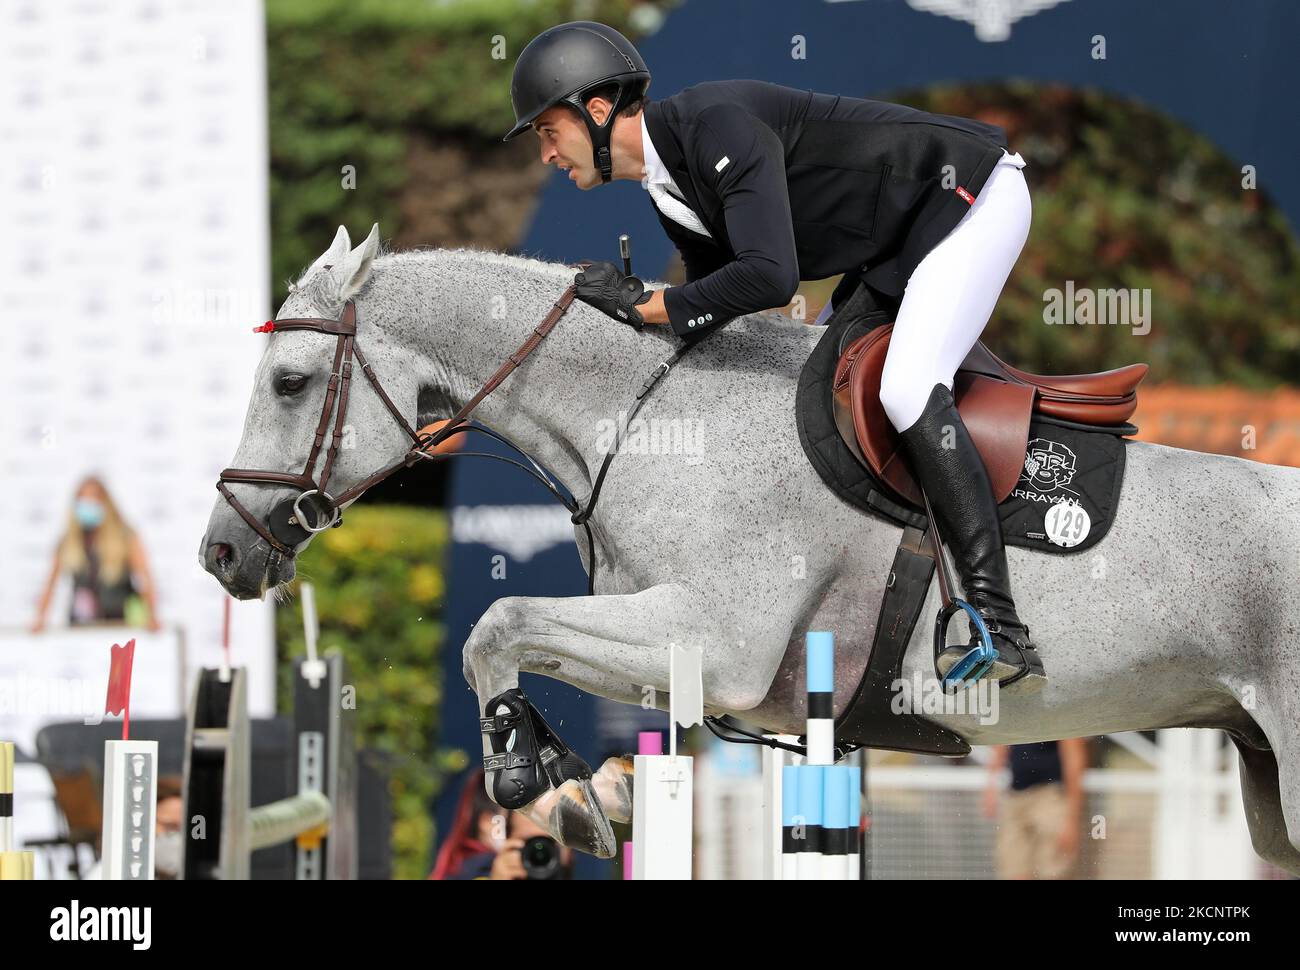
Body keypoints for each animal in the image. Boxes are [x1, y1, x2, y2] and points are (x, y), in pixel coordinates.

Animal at [200, 224, 1300, 868]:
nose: (221, 554)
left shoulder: (717, 639)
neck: (650, 416)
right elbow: (532, 648)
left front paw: (532, 783)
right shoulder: (688, 647)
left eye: (291, 382)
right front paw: (584, 790)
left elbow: (498, 623)